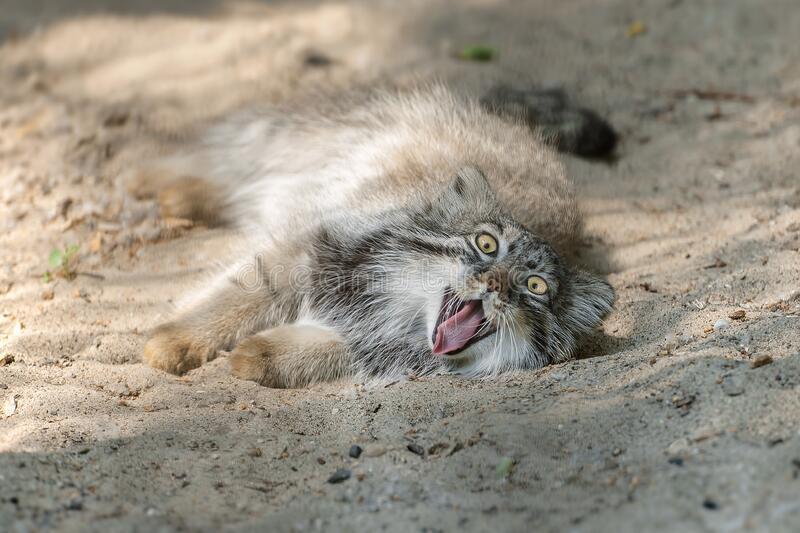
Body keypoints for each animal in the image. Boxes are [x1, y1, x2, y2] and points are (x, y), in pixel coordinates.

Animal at [136, 85, 612, 388]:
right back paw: (157, 182)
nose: (494, 284)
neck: (400, 307)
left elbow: (332, 349)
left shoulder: (378, 343)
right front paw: (176, 340)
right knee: (207, 155)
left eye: (535, 287)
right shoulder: (304, 249)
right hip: (284, 137)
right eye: (486, 244)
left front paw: (264, 357)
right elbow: (236, 298)